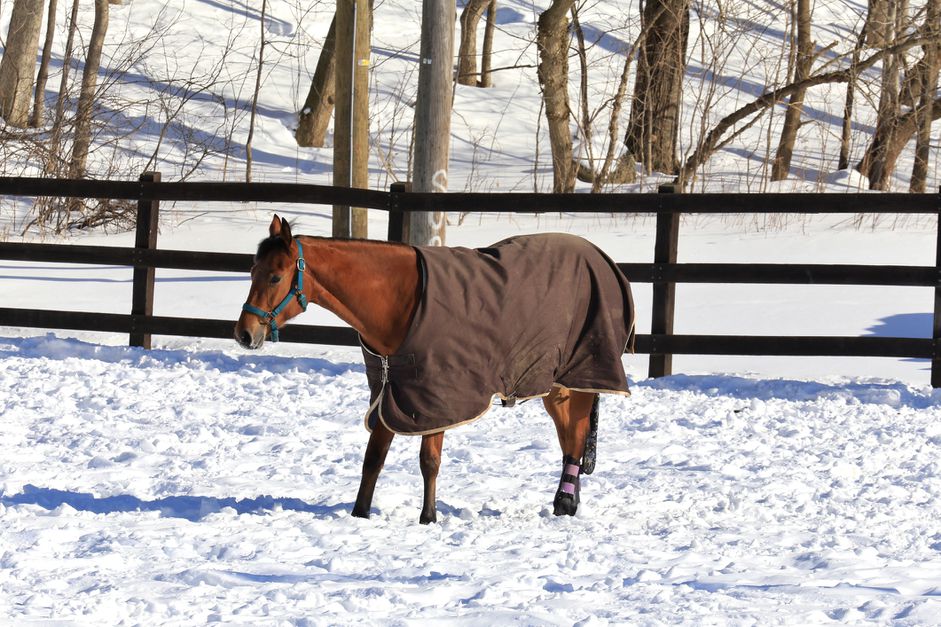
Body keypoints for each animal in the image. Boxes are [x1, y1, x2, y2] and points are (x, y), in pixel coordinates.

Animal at [235, 216, 636, 524]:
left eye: (275, 277)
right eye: (252, 271)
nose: (244, 333)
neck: (400, 299)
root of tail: (603, 261)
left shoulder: (437, 395)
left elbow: (429, 460)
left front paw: (428, 517)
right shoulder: (392, 391)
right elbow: (373, 459)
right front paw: (360, 514)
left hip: (575, 377)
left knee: (575, 436)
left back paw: (566, 501)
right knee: (570, 438)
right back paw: (565, 502)